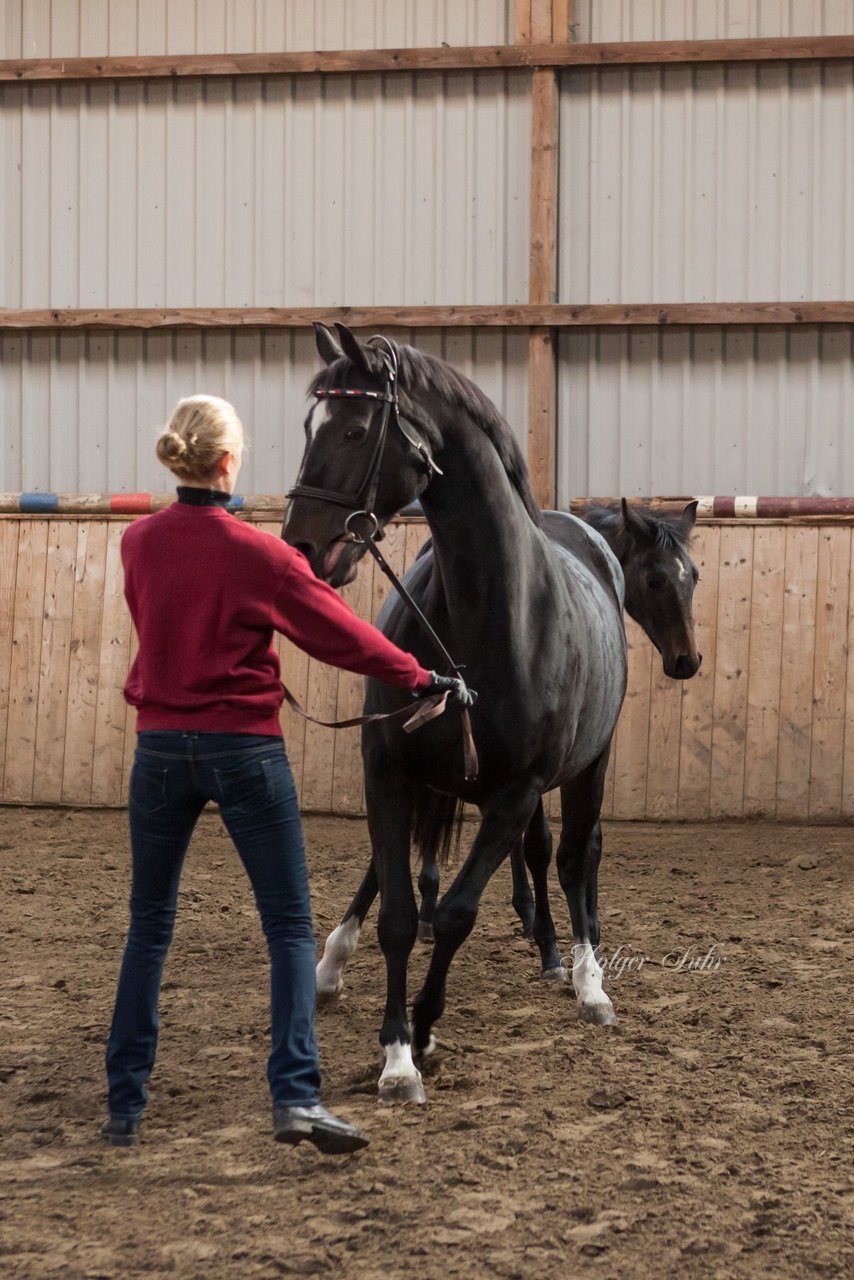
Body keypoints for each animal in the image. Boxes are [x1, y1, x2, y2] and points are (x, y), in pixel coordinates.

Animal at [284, 325, 696, 1105]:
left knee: (578, 855)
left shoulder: (517, 791)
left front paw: (423, 1031)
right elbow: (398, 911)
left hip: (587, 770)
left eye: (355, 429)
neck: (487, 615)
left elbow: (458, 912)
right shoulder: (388, 768)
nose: (303, 547)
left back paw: (587, 979)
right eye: (308, 426)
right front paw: (396, 1052)